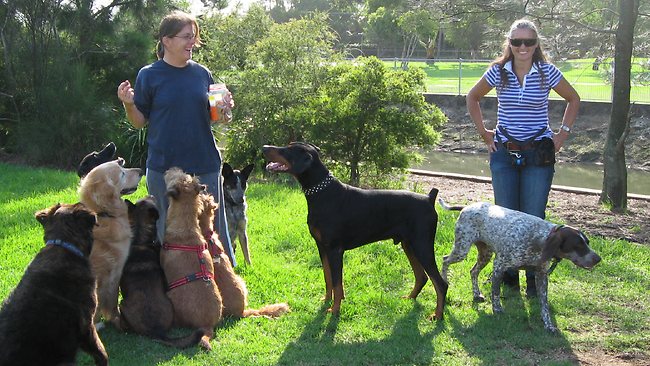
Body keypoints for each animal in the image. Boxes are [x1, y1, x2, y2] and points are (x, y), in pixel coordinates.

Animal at [78, 158, 142, 326]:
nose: (141, 171)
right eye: (122, 174)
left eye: (122, 166)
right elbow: (112, 300)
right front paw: (115, 318)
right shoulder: (115, 270)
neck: (103, 214)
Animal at [260, 142, 448, 318]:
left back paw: (437, 315)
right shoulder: (322, 247)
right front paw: (326, 301)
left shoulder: (335, 250)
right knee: (422, 277)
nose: (264, 147)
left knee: (441, 283)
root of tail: (429, 198)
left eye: (288, 150)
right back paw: (410, 298)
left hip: (422, 245)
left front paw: (335, 310)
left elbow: (337, 283)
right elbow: (328, 278)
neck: (322, 193)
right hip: (408, 244)